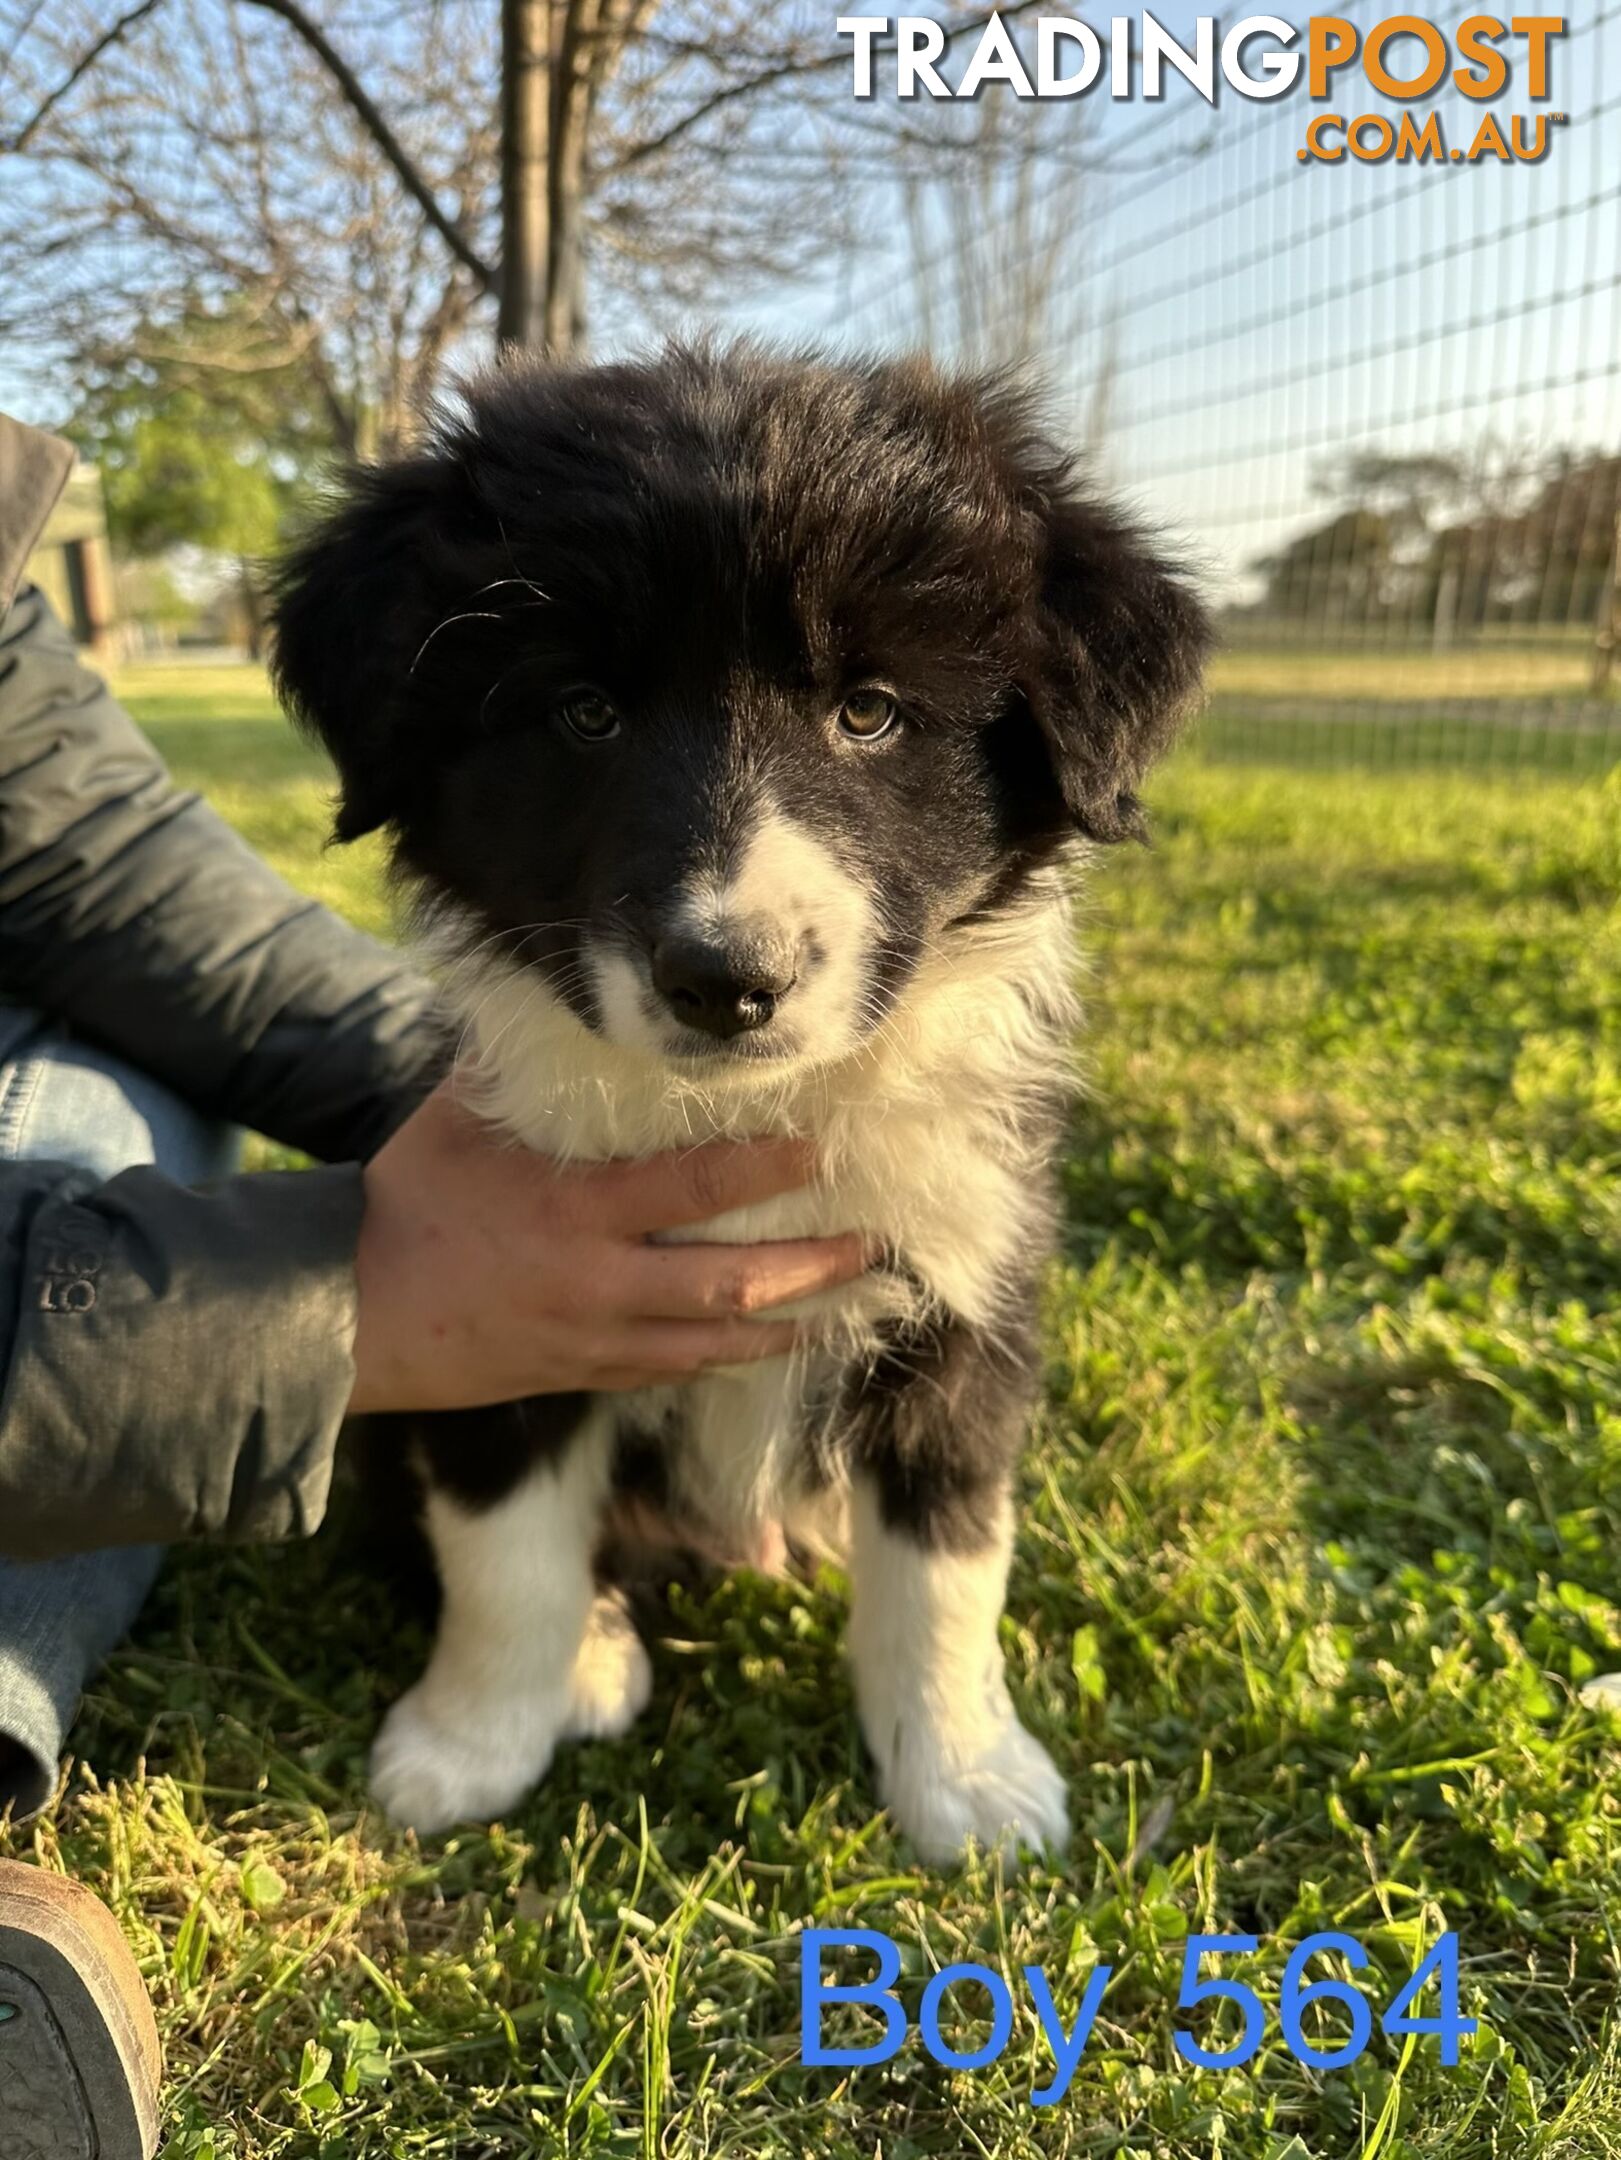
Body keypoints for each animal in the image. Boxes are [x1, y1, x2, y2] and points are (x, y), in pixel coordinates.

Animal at [270, 341, 1210, 1857]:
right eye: (583, 711)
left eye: (869, 710)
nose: (728, 980)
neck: (739, 1117)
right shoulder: (498, 1302)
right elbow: (503, 1549)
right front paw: (468, 1746)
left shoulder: (965, 1291)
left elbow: (948, 1564)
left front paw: (964, 1778)